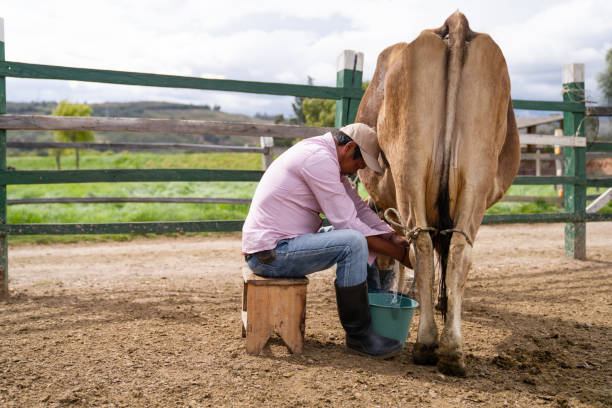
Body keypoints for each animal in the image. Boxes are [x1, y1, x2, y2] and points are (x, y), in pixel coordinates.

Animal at [356, 11, 520, 376]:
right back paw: (451, 349)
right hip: (475, 172)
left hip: (409, 167)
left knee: (422, 243)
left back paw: (429, 343)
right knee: (456, 247)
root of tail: (456, 23)